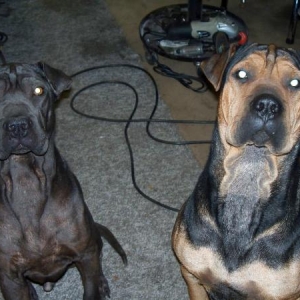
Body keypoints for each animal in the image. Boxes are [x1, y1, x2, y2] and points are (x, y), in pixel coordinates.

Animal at [0, 62, 126, 298]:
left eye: (38, 91)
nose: (17, 125)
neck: (25, 176)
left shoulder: (85, 256)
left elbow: (91, 286)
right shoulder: (9, 277)